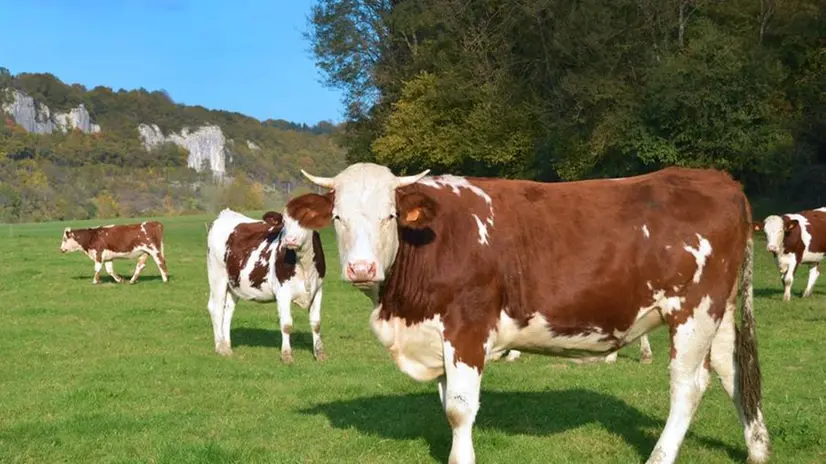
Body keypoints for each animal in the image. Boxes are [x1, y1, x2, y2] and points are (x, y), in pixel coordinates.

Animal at [204, 208, 326, 366]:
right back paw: (221, 347)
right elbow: (286, 324)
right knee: (216, 308)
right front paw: (286, 355)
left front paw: (320, 354)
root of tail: (226, 214)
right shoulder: (282, 291)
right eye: (284, 222)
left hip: (233, 284)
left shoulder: (318, 290)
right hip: (217, 275)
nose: (289, 240)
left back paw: (227, 345)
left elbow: (316, 323)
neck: (304, 264)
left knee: (228, 311)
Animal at [288, 162, 768, 464]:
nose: (361, 268)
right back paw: (757, 449)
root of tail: (720, 179)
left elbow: (459, 408)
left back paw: (660, 456)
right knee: (732, 370)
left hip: (693, 310)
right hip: (718, 312)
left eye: (390, 216)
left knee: (688, 385)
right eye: (338, 217)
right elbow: (446, 405)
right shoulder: (436, 336)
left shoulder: (467, 326)